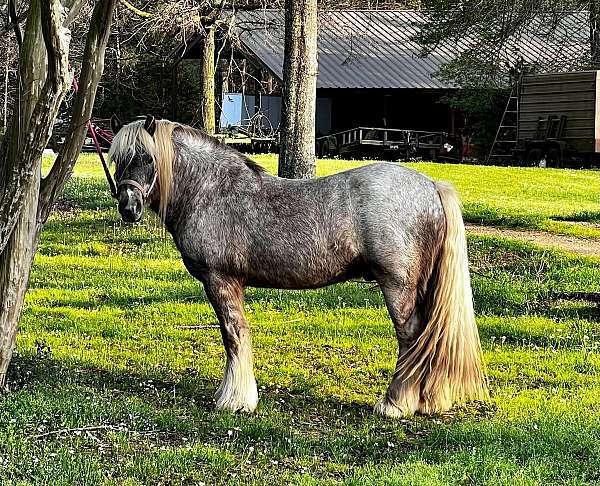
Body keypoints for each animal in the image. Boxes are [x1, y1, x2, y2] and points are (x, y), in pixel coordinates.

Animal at [109, 115, 488, 418]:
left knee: (410, 338)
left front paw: (235, 400)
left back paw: (395, 404)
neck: (210, 190)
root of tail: (432, 186)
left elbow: (234, 336)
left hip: (398, 286)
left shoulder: (221, 281)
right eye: (118, 160)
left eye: (146, 157)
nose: (128, 207)